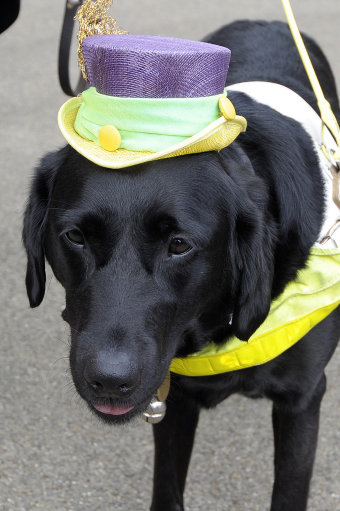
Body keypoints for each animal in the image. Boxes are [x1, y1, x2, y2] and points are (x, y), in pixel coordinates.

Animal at [22, 20, 338, 511]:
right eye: (75, 237)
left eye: (179, 244)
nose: (109, 380)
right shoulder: (172, 395)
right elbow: (167, 490)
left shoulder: (301, 398)